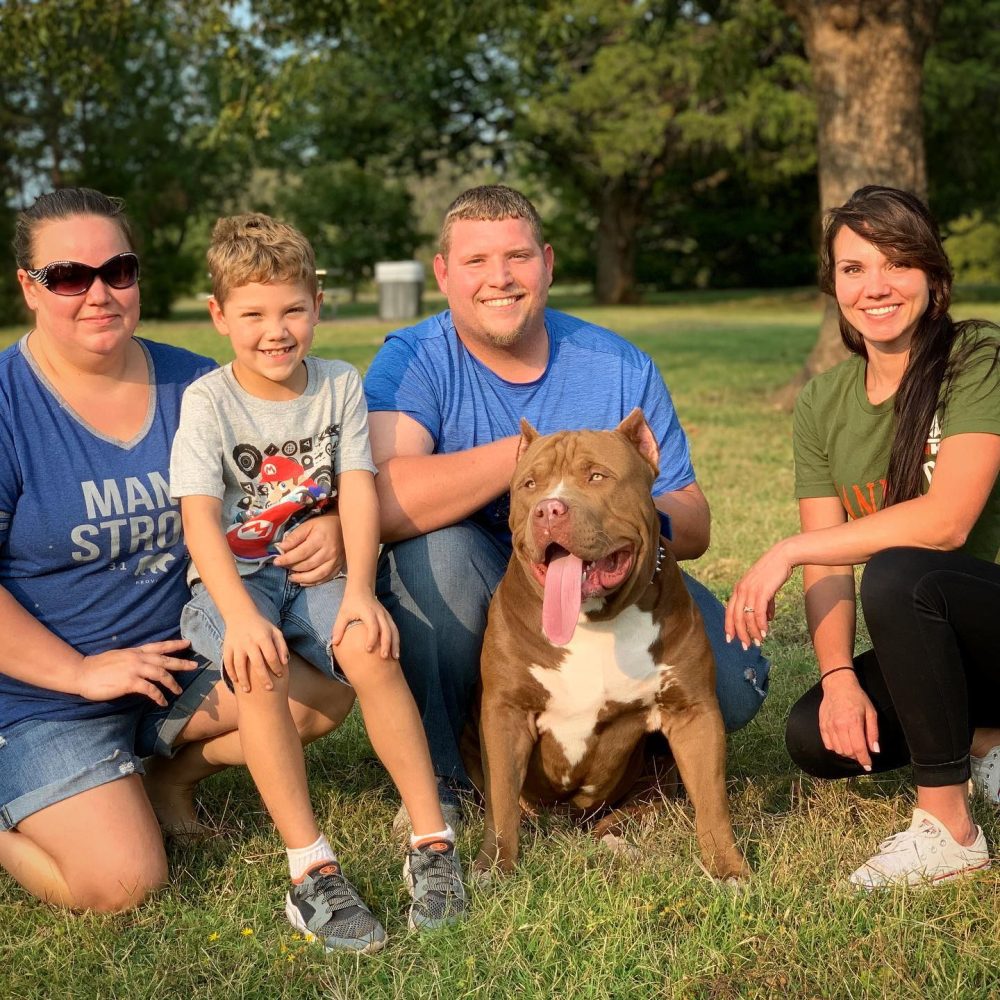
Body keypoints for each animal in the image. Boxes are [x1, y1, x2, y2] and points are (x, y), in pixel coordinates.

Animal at [472, 410, 748, 880]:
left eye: (597, 476)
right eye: (530, 485)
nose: (549, 509)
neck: (594, 621)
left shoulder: (692, 712)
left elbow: (713, 802)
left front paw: (729, 870)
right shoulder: (506, 712)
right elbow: (502, 801)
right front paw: (494, 866)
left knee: (634, 812)